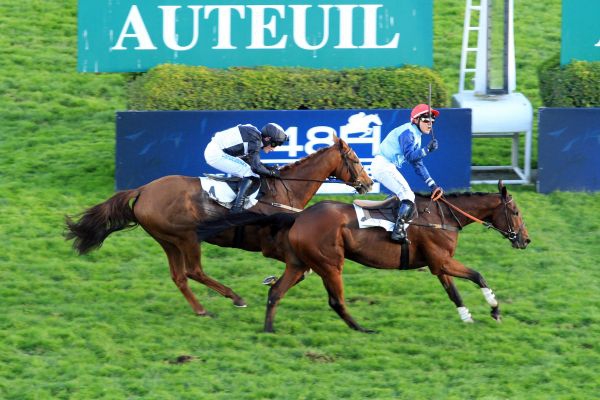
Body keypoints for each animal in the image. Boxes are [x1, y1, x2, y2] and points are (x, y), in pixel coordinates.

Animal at [68, 134, 372, 316]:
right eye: (356, 159)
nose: (368, 183)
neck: (283, 192)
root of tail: (143, 189)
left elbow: (302, 269)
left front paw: (273, 280)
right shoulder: (271, 244)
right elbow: (302, 267)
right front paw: (273, 281)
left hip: (168, 241)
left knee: (179, 276)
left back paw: (201, 308)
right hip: (187, 237)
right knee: (194, 271)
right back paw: (234, 297)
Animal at [198, 180, 528, 332]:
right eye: (515, 211)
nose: (525, 239)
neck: (442, 216)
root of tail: (299, 216)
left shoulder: (438, 264)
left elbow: (454, 291)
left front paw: (467, 316)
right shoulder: (442, 260)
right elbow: (478, 275)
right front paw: (494, 309)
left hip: (300, 263)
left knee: (276, 291)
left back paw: (269, 330)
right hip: (331, 264)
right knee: (336, 301)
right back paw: (362, 328)